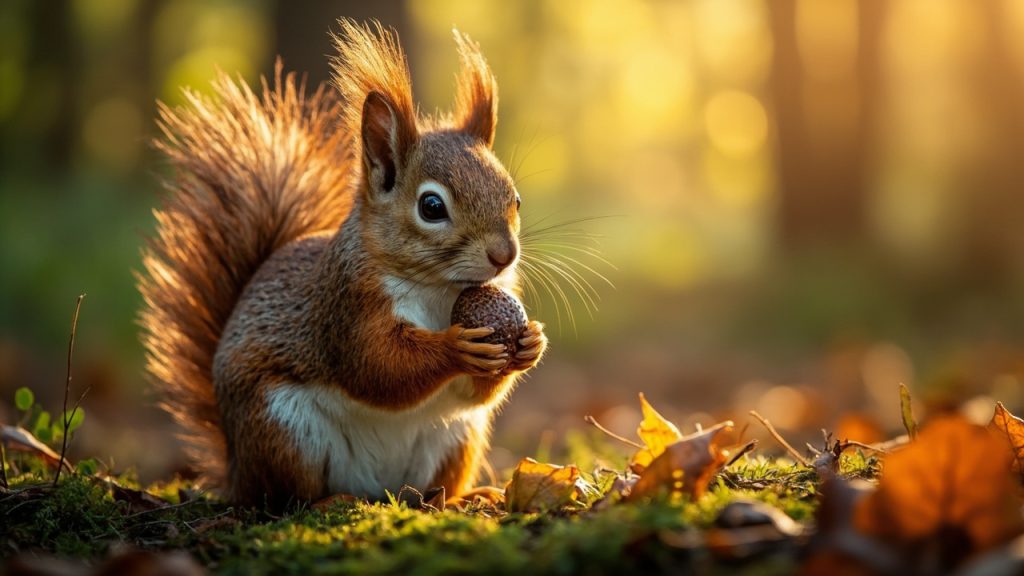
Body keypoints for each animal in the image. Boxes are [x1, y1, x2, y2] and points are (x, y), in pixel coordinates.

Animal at [138, 20, 547, 510]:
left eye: (516, 199)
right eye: (431, 206)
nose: (504, 256)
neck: (440, 290)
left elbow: (474, 393)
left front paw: (531, 342)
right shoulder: (347, 305)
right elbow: (379, 367)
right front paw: (454, 347)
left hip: (456, 438)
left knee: (437, 482)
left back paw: (463, 497)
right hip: (283, 429)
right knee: (286, 497)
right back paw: (332, 501)